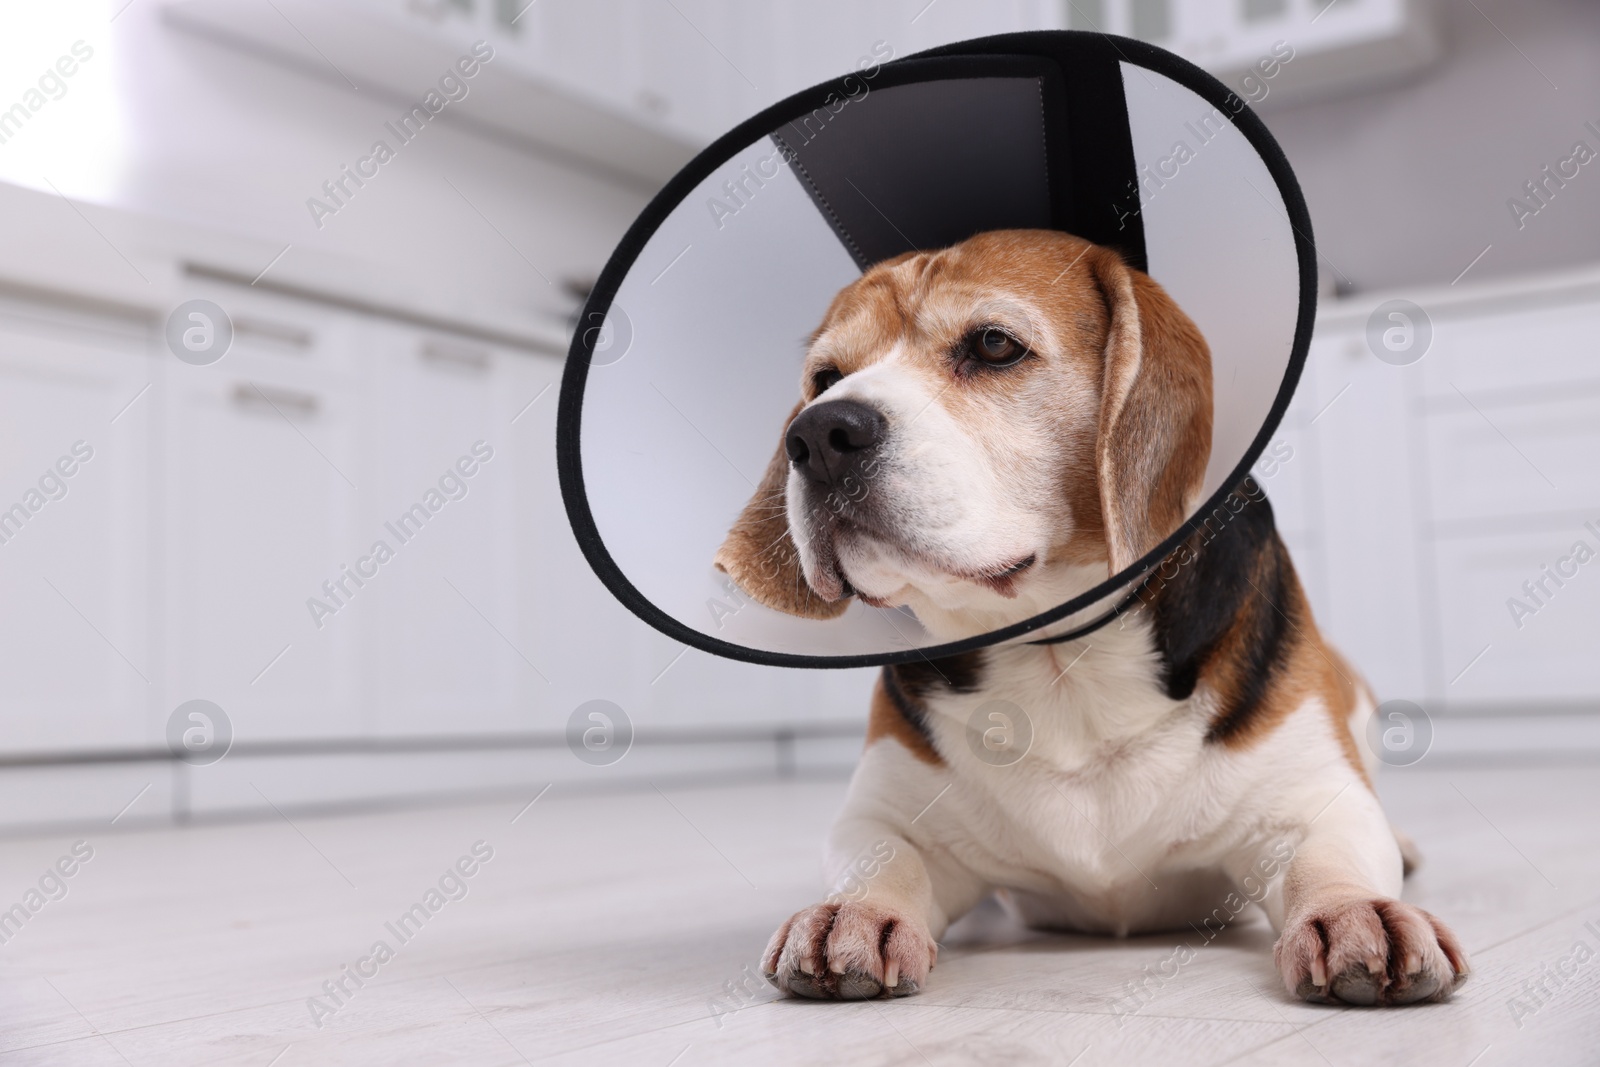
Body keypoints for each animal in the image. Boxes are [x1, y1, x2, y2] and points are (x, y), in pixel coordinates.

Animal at [720, 231, 1465, 1011]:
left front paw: (1355, 913)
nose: (818, 433)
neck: (1060, 658)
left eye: (993, 344)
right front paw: (854, 912)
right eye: (825, 377)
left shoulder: (1311, 800)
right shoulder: (886, 813)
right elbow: (882, 857)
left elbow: (1331, 854)